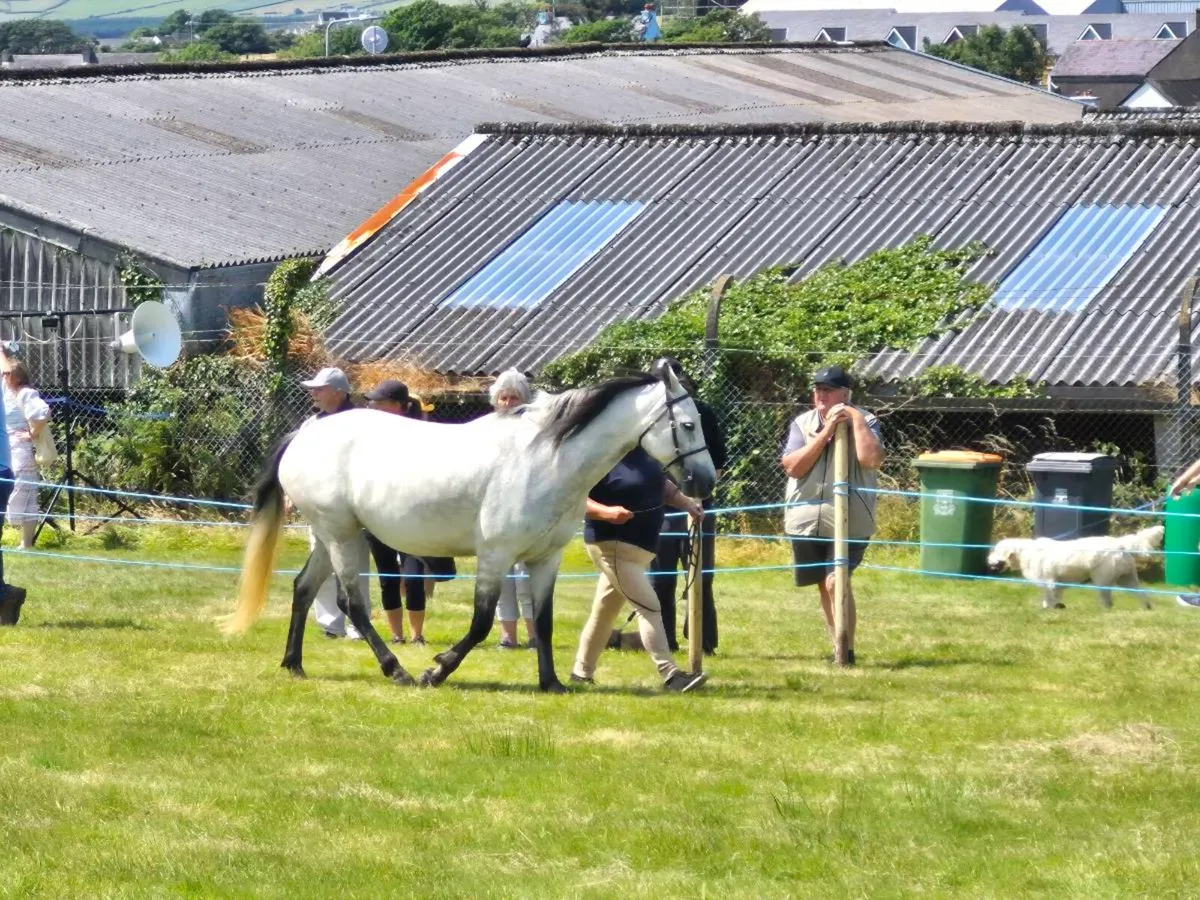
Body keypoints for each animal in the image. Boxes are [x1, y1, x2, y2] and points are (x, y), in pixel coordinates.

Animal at [223, 362, 716, 693]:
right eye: (688, 424)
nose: (705, 482)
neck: (547, 458)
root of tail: (304, 435)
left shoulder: (545, 559)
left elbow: (543, 621)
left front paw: (552, 683)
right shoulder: (496, 555)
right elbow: (481, 622)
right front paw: (436, 670)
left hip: (333, 537)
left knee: (304, 589)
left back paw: (294, 664)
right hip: (342, 536)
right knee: (351, 603)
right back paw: (397, 670)